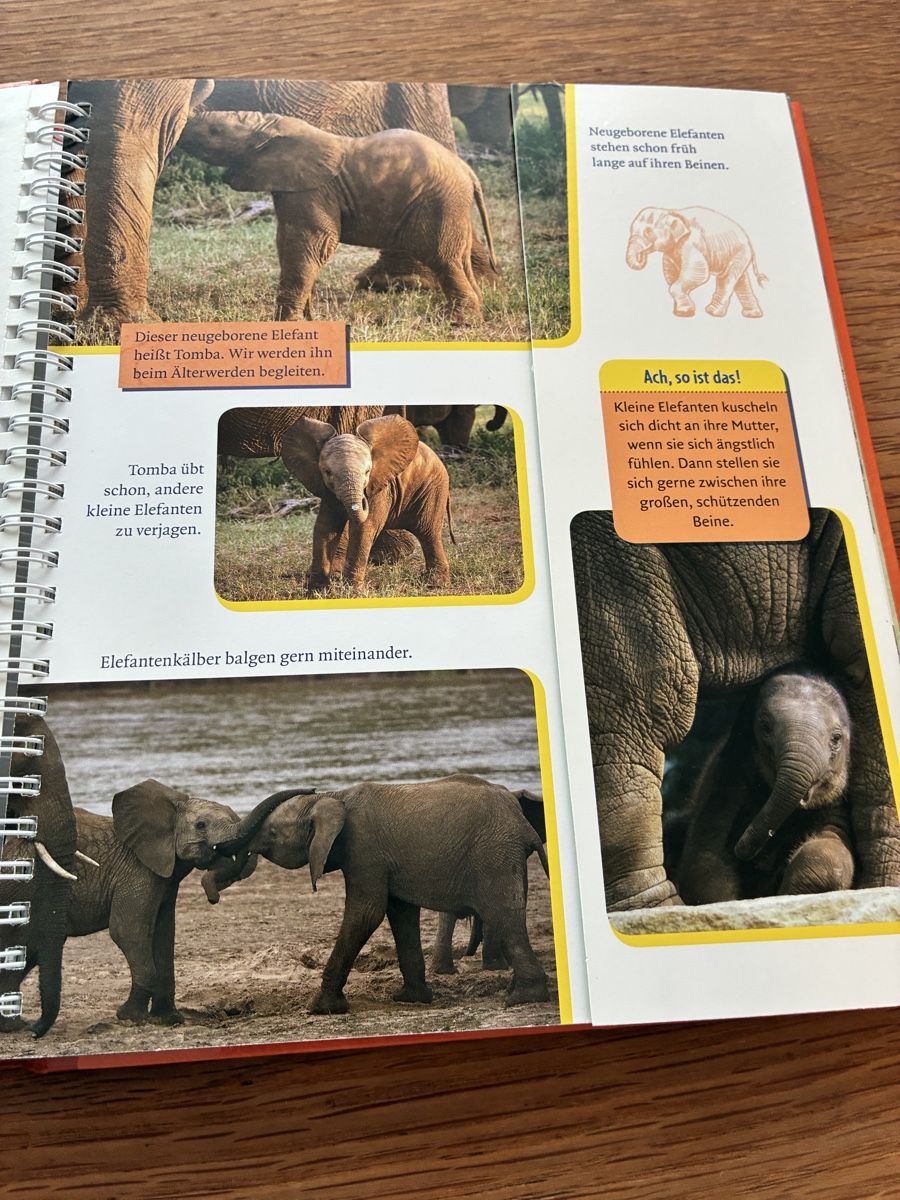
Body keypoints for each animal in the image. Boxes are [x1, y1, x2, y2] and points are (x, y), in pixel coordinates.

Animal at [65, 781, 305, 1024]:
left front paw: (168, 1019)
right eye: (201, 825)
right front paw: (129, 1016)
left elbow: (164, 934)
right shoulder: (137, 870)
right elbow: (128, 931)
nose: (213, 898)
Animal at [178, 111, 497, 321]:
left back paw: (460, 323)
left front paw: (287, 326)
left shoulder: (313, 189)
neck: (274, 126)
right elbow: (291, 245)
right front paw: (308, 321)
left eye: (215, 131)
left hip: (439, 203)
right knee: (458, 257)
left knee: (443, 257)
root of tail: (469, 172)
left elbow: (311, 243)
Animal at [281, 414, 453, 594]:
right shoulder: (327, 490)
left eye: (367, 472)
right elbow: (325, 527)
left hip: (433, 487)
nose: (363, 500)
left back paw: (435, 585)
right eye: (327, 472)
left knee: (428, 533)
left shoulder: (380, 487)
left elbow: (364, 528)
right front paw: (315, 592)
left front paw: (352, 593)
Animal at [625, 205, 767, 318]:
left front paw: (684, 313)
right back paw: (752, 315)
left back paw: (712, 312)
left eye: (648, 232)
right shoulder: (672, 250)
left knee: (726, 278)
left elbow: (699, 274)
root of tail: (748, 240)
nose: (642, 255)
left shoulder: (692, 243)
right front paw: (682, 310)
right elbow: (671, 275)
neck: (671, 211)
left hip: (739, 252)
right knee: (741, 281)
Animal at [677, 670, 855, 904]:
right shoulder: (726, 774)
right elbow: (703, 863)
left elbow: (831, 851)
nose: (741, 848)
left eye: (836, 738)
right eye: (765, 727)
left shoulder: (838, 803)